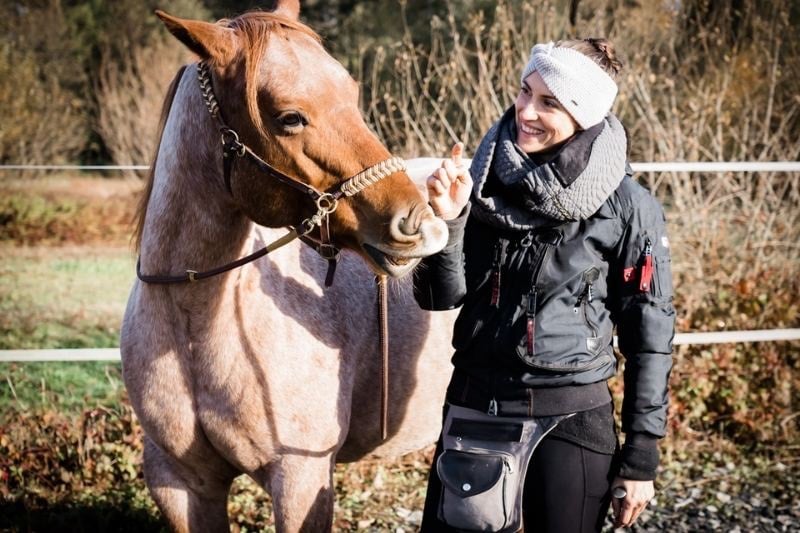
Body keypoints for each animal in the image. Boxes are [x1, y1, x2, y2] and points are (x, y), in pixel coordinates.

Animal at [119, 2, 456, 528]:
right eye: (290, 118)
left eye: (351, 94)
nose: (420, 225)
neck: (194, 320)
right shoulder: (179, 483)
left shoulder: (300, 478)